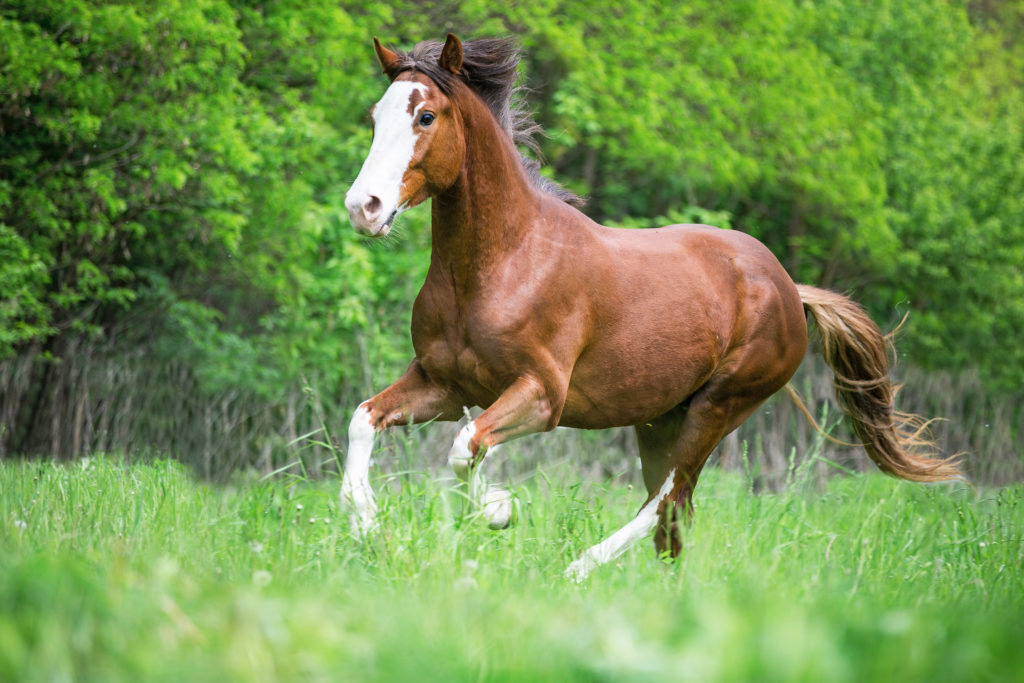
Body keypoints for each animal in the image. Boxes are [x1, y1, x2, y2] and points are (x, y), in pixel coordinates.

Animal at [342, 34, 958, 581]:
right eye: (375, 116)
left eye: (426, 117)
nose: (362, 207)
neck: (504, 263)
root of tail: (790, 288)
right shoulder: (445, 386)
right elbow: (364, 422)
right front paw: (369, 530)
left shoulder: (541, 395)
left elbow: (465, 447)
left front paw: (499, 510)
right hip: (661, 419)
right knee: (674, 516)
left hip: (719, 407)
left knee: (666, 499)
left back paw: (578, 570)